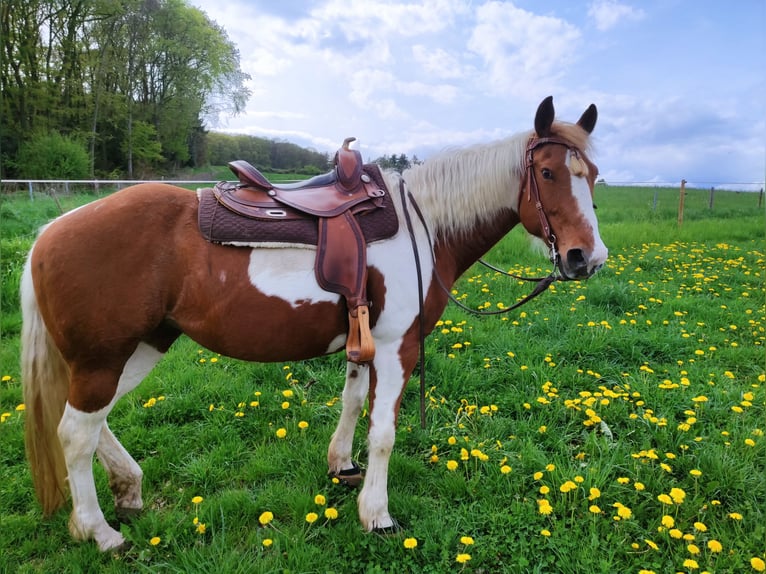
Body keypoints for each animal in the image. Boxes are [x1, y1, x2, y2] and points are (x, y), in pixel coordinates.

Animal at [21, 96, 607, 551]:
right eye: (548, 173)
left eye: (595, 177)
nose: (588, 258)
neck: (423, 225)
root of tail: (49, 232)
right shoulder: (396, 346)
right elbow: (384, 431)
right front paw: (377, 514)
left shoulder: (362, 341)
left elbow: (352, 403)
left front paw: (341, 466)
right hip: (104, 356)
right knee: (75, 433)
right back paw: (99, 532)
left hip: (139, 346)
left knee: (93, 422)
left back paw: (128, 489)